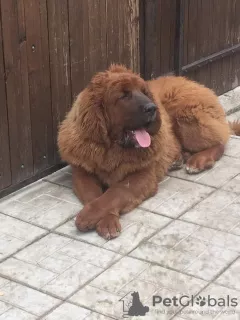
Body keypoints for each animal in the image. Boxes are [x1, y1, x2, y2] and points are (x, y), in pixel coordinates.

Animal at [58, 63, 240, 240]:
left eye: (144, 92)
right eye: (124, 96)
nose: (152, 108)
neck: (111, 149)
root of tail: (191, 82)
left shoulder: (142, 175)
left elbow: (116, 192)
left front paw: (89, 217)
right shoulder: (83, 173)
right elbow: (94, 195)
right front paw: (105, 220)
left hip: (186, 117)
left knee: (221, 140)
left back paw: (198, 161)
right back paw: (178, 159)